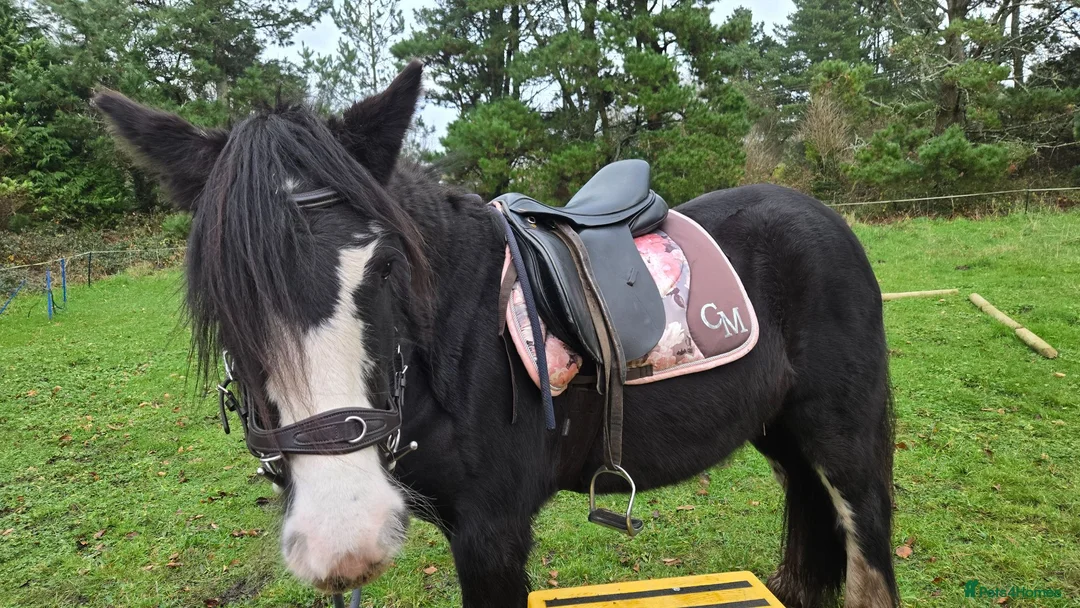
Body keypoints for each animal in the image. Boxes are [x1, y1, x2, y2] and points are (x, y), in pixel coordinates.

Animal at [94, 61, 898, 608]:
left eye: (385, 266)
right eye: (220, 294)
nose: (343, 535)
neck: (450, 347)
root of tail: (823, 216)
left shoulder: (491, 535)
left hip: (845, 438)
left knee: (868, 543)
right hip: (782, 433)